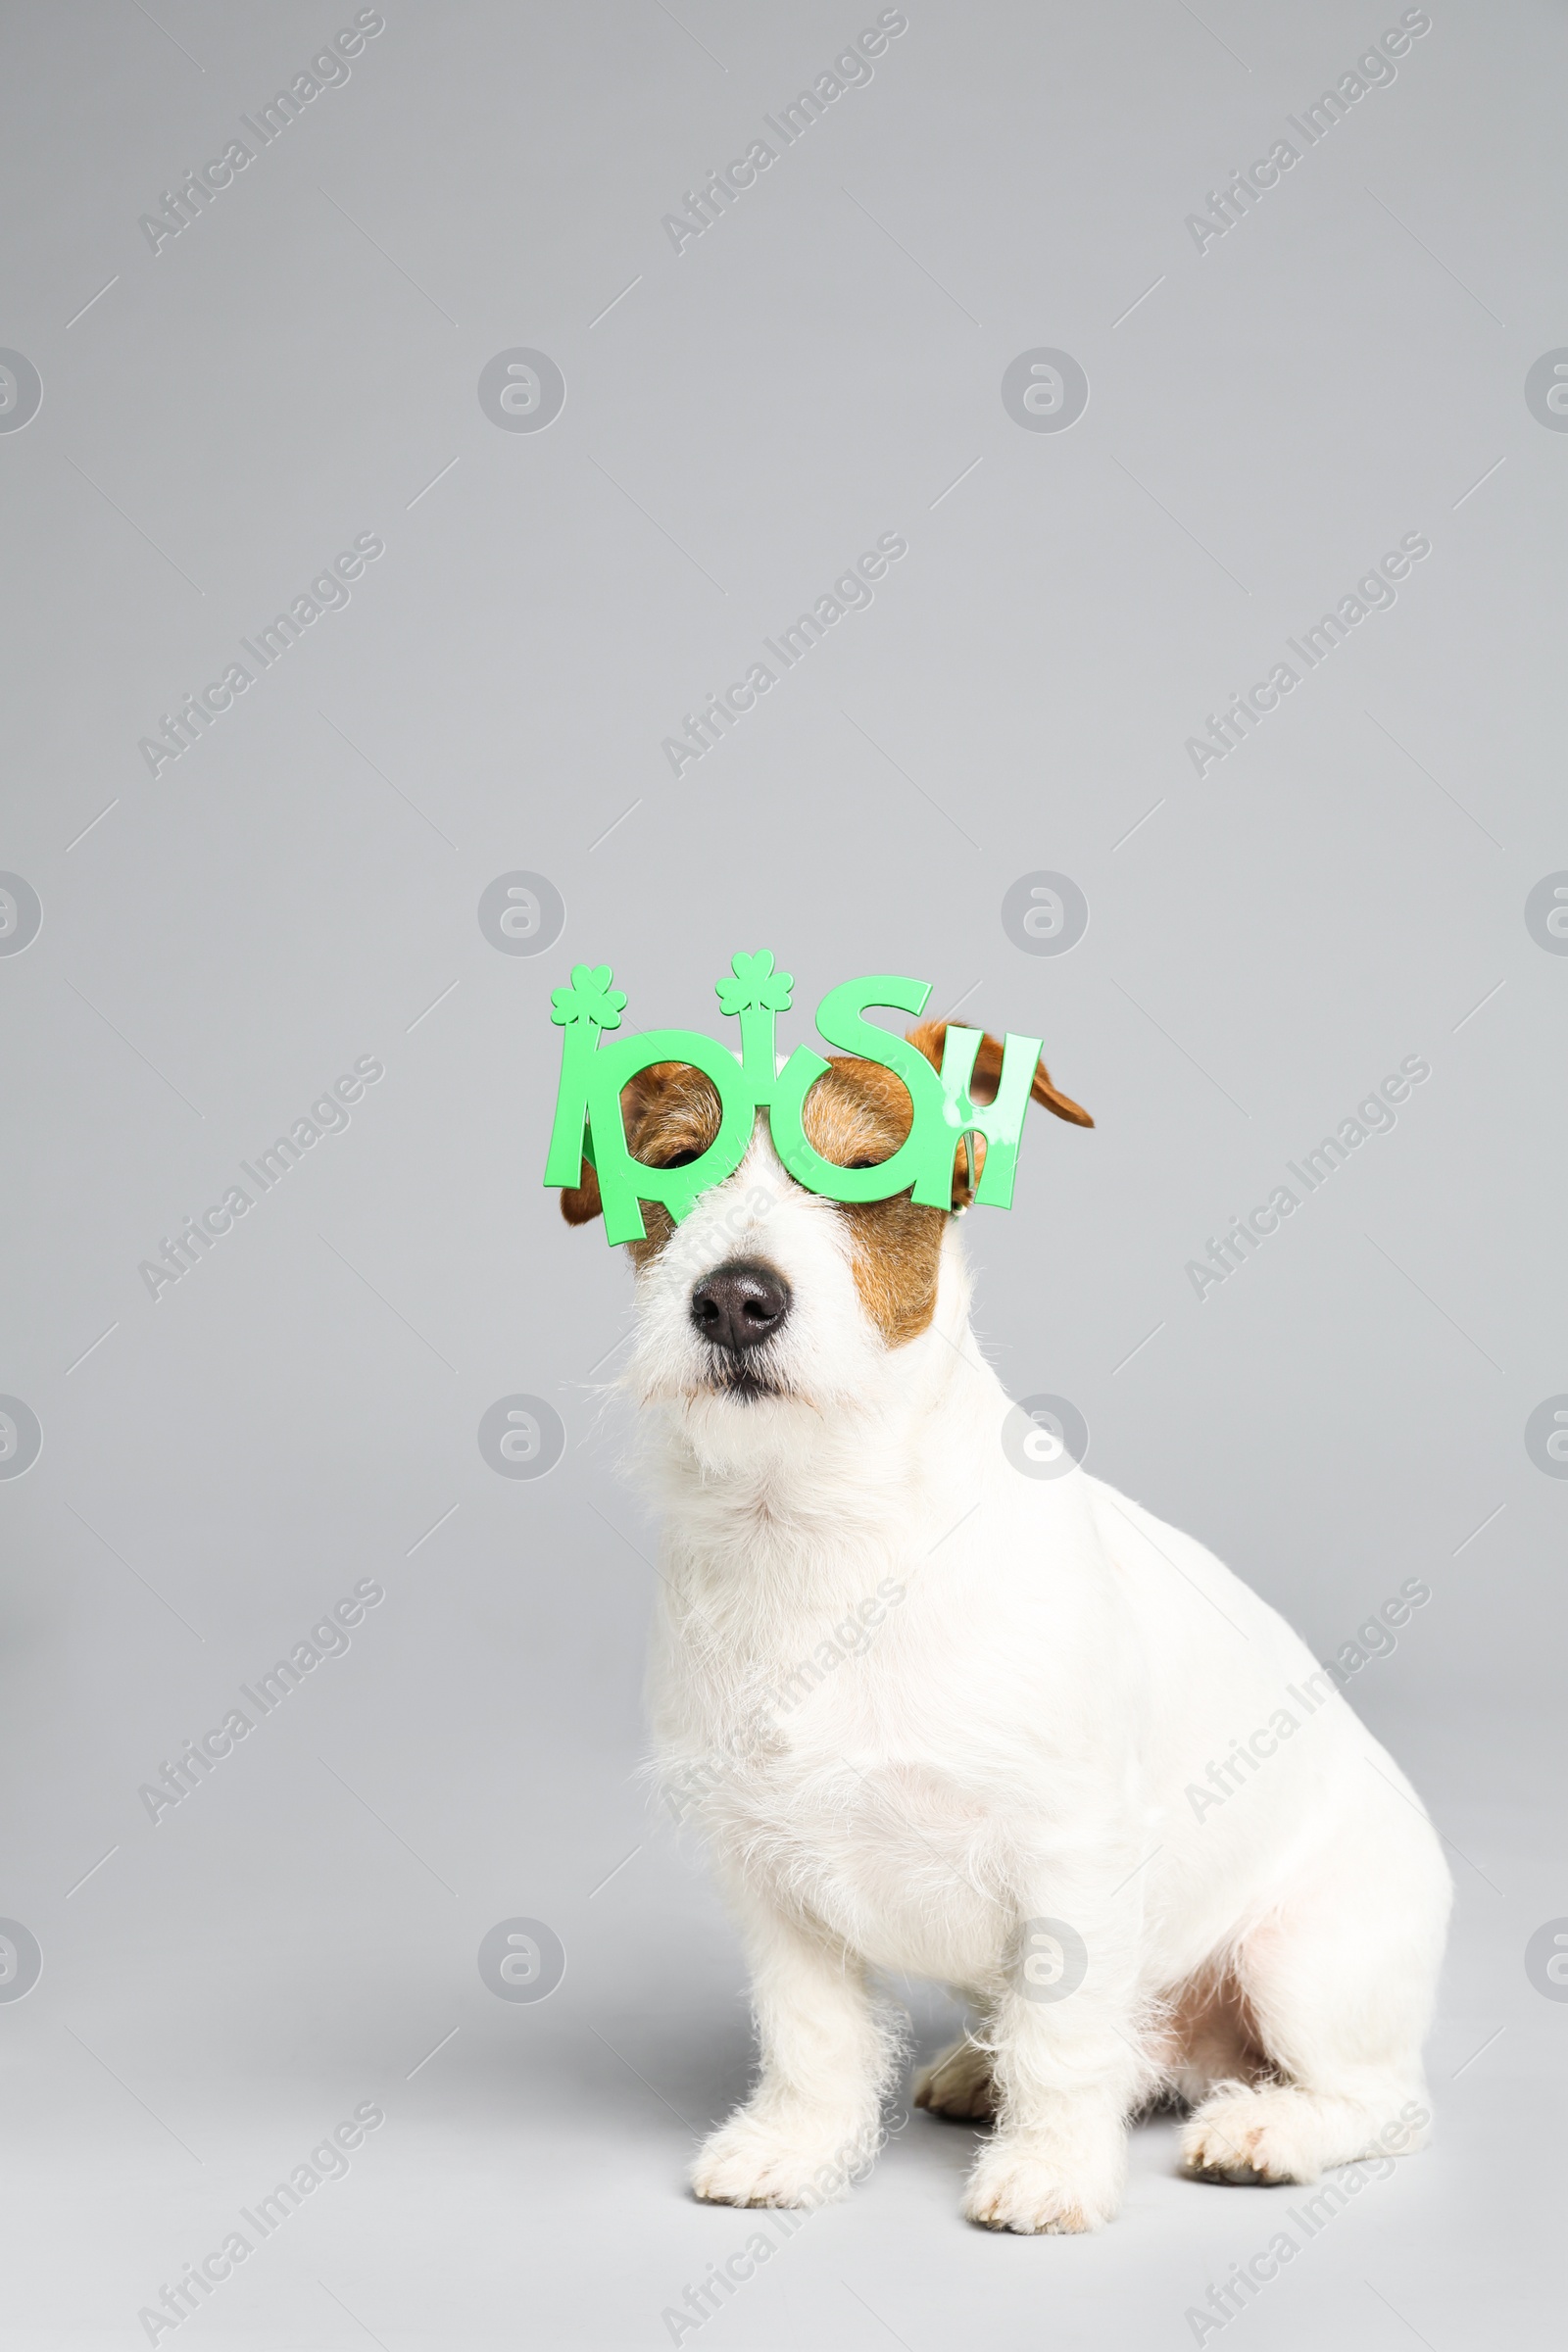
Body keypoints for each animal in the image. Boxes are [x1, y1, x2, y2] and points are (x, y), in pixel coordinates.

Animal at [557, 1020, 1457, 2230]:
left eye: (865, 1171)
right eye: (672, 1163)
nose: (736, 1299)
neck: (822, 1532)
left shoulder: (1070, 1857)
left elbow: (1066, 2039)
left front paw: (1052, 2170)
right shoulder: (769, 1881)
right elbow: (812, 2038)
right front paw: (799, 2146)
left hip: (1300, 1962)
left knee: (1383, 2102)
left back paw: (1266, 2127)